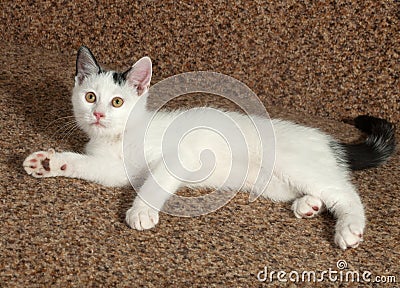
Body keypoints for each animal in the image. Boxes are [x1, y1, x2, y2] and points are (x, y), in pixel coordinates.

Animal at [23, 46, 396, 250]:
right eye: (90, 97)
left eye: (117, 101)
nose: (99, 114)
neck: (123, 136)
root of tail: (325, 138)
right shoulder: (113, 169)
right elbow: (90, 167)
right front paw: (48, 163)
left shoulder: (180, 156)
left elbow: (154, 182)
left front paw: (142, 212)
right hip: (272, 183)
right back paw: (308, 205)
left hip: (297, 163)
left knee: (347, 194)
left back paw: (349, 229)